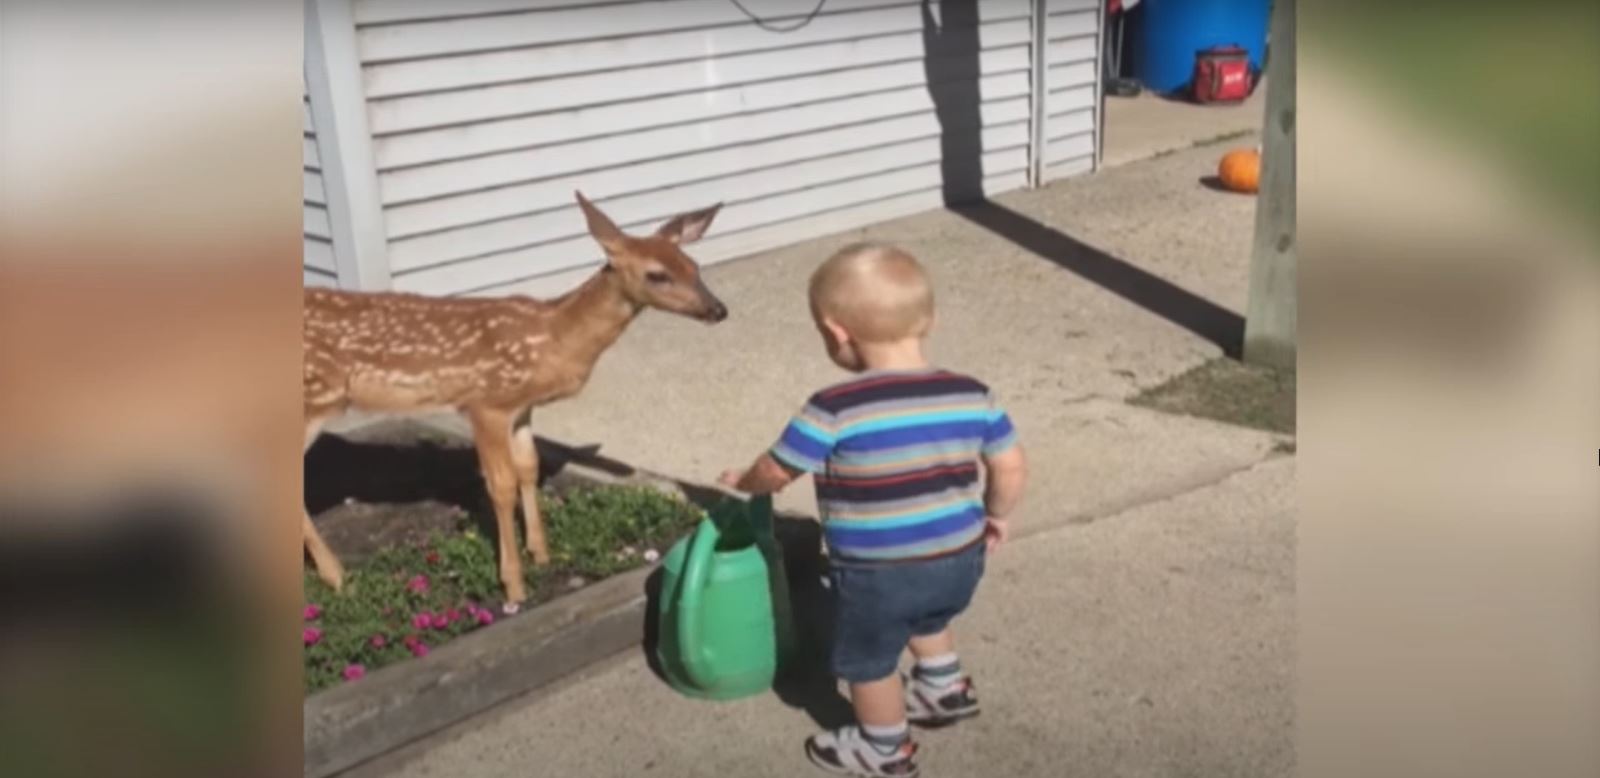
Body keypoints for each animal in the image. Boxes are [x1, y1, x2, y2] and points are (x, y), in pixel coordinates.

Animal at [303, 191, 727, 609]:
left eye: (693, 265)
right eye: (657, 274)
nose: (718, 309)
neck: (554, 339)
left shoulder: (522, 408)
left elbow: (529, 468)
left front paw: (541, 553)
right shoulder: (486, 402)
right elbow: (501, 486)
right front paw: (514, 584)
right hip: (314, 399)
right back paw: (338, 577)